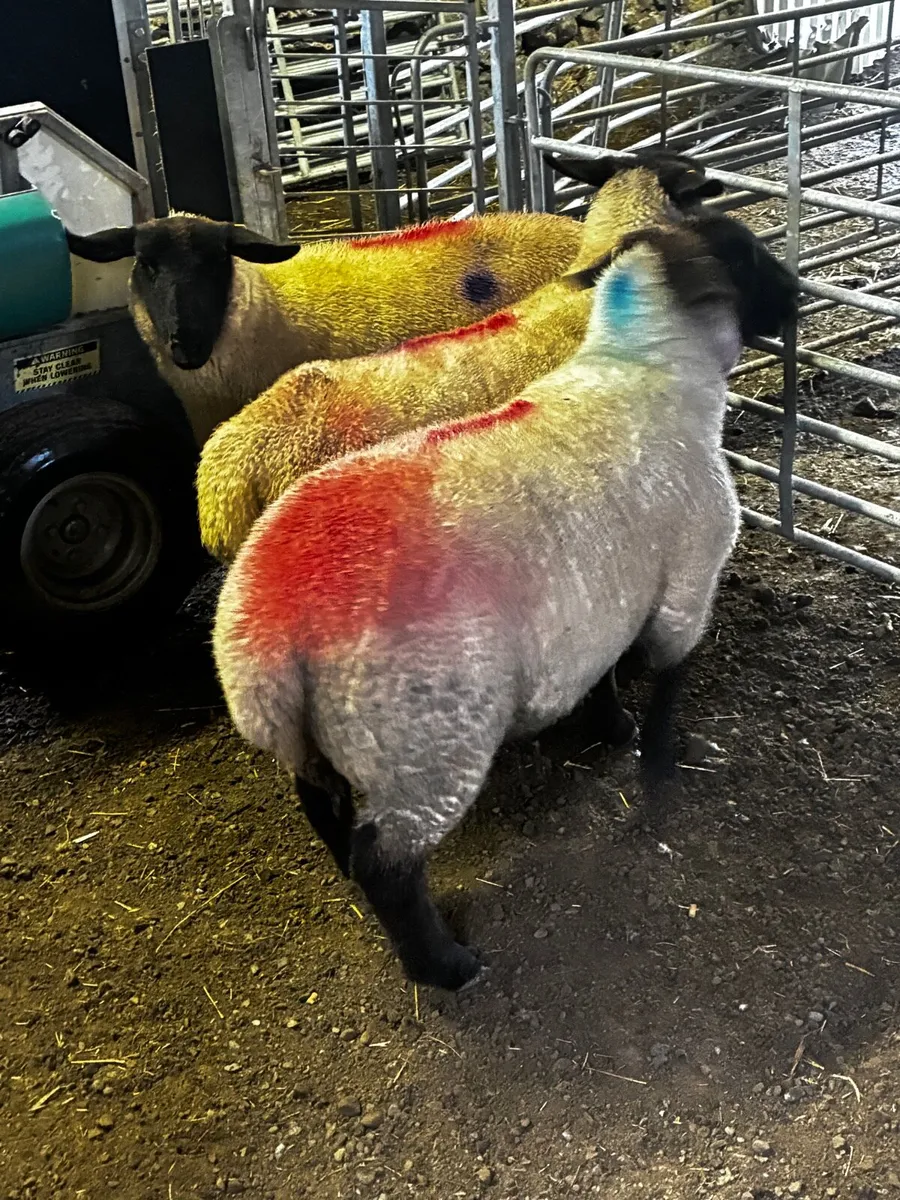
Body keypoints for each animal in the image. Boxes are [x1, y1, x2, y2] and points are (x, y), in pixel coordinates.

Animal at [211, 216, 799, 991]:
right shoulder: (688, 584)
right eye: (749, 251)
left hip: (321, 741)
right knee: (388, 864)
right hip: (426, 743)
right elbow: (669, 680)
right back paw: (446, 966)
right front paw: (659, 758)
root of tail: (268, 633)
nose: (797, 299)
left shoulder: (596, 600)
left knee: (321, 804)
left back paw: (348, 880)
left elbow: (603, 674)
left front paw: (612, 728)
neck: (641, 368)